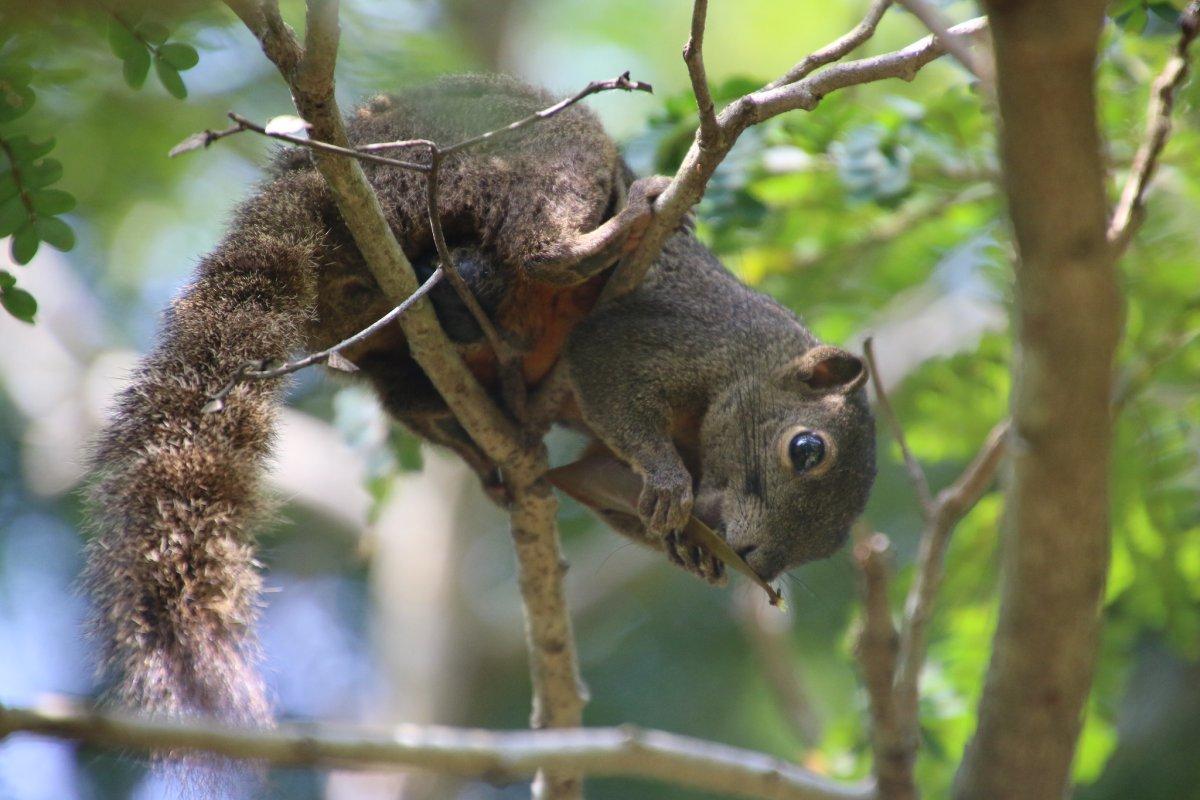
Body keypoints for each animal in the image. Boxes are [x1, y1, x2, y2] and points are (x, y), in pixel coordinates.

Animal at [82, 74, 873, 724]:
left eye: (828, 545)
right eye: (807, 449)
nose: (755, 559)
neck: (757, 361)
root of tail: (337, 166)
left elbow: (585, 475)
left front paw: (689, 548)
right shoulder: (675, 336)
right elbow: (612, 376)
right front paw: (669, 487)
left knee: (413, 391)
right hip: (528, 157)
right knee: (542, 248)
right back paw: (627, 220)